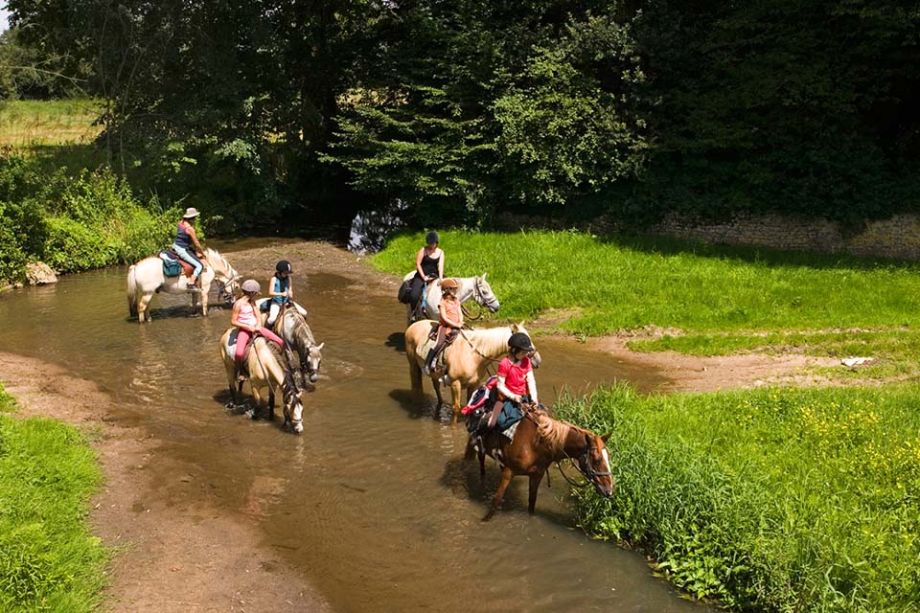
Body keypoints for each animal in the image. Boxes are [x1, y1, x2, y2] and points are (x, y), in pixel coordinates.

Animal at [402, 320, 540, 420]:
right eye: (525, 340)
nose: (538, 360)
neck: (473, 355)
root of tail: (413, 325)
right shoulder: (455, 384)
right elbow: (456, 408)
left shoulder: (473, 384)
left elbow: (470, 405)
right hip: (413, 365)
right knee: (416, 386)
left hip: (434, 373)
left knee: (436, 387)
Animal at [470, 406, 616, 520]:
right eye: (596, 459)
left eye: (608, 457)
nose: (609, 491)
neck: (536, 443)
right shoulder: (509, 471)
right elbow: (496, 500)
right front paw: (484, 520)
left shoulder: (536, 475)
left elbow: (532, 503)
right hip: (481, 448)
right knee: (481, 465)